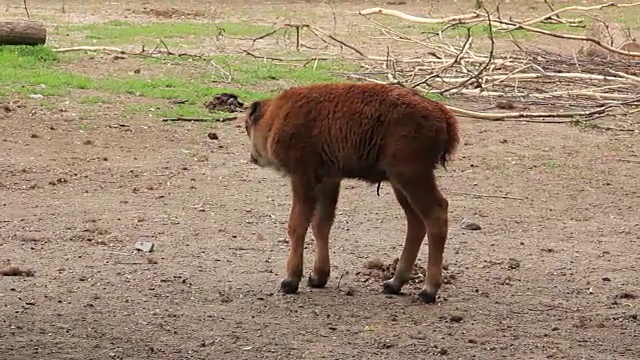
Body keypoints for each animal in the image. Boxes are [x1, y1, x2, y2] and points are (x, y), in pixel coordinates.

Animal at [245, 82, 460, 304]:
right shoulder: (329, 180)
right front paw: (318, 277)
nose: (252, 156)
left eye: (247, 127)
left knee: (435, 214)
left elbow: (297, 225)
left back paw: (428, 291)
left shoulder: (302, 178)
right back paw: (393, 284)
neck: (277, 114)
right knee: (416, 222)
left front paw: (290, 281)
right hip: (400, 184)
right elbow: (321, 225)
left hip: (411, 178)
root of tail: (442, 113)